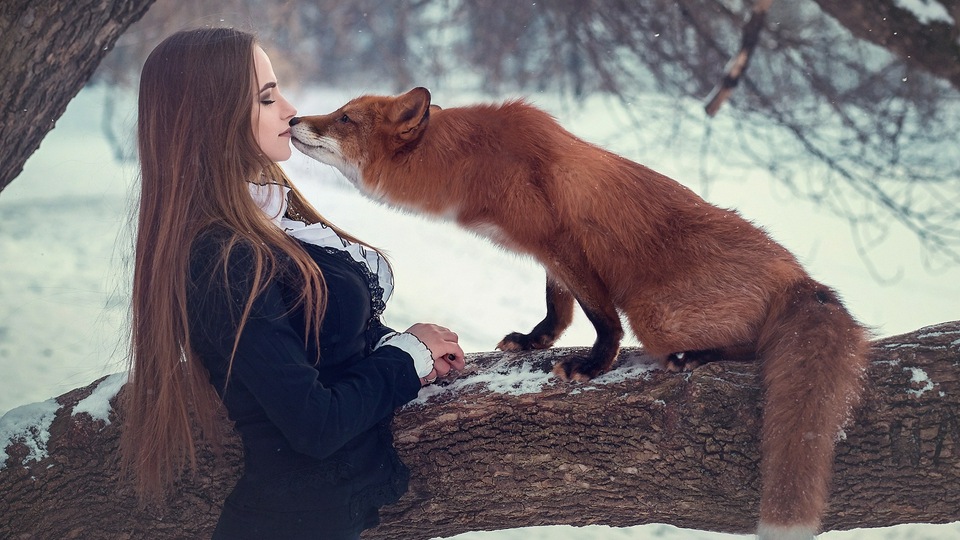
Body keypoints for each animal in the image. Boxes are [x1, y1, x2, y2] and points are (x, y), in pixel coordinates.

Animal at [288, 86, 872, 536]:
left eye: (344, 119)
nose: (293, 118)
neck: (473, 164)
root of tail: (800, 278)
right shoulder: (551, 258)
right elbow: (557, 307)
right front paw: (536, 340)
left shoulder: (566, 244)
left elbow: (600, 318)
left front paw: (593, 365)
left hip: (655, 313)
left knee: (749, 347)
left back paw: (696, 357)